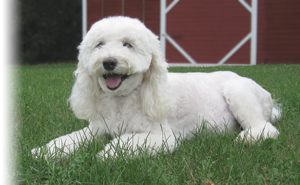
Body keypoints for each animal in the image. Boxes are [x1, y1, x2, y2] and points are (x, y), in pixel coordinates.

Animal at [31, 15, 280, 158]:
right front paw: (45, 151)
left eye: (128, 44)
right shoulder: (96, 130)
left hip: (238, 92)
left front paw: (107, 153)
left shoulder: (162, 138)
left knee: (267, 129)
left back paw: (248, 138)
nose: (109, 62)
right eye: (99, 45)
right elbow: (68, 140)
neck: (121, 102)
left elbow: (123, 143)